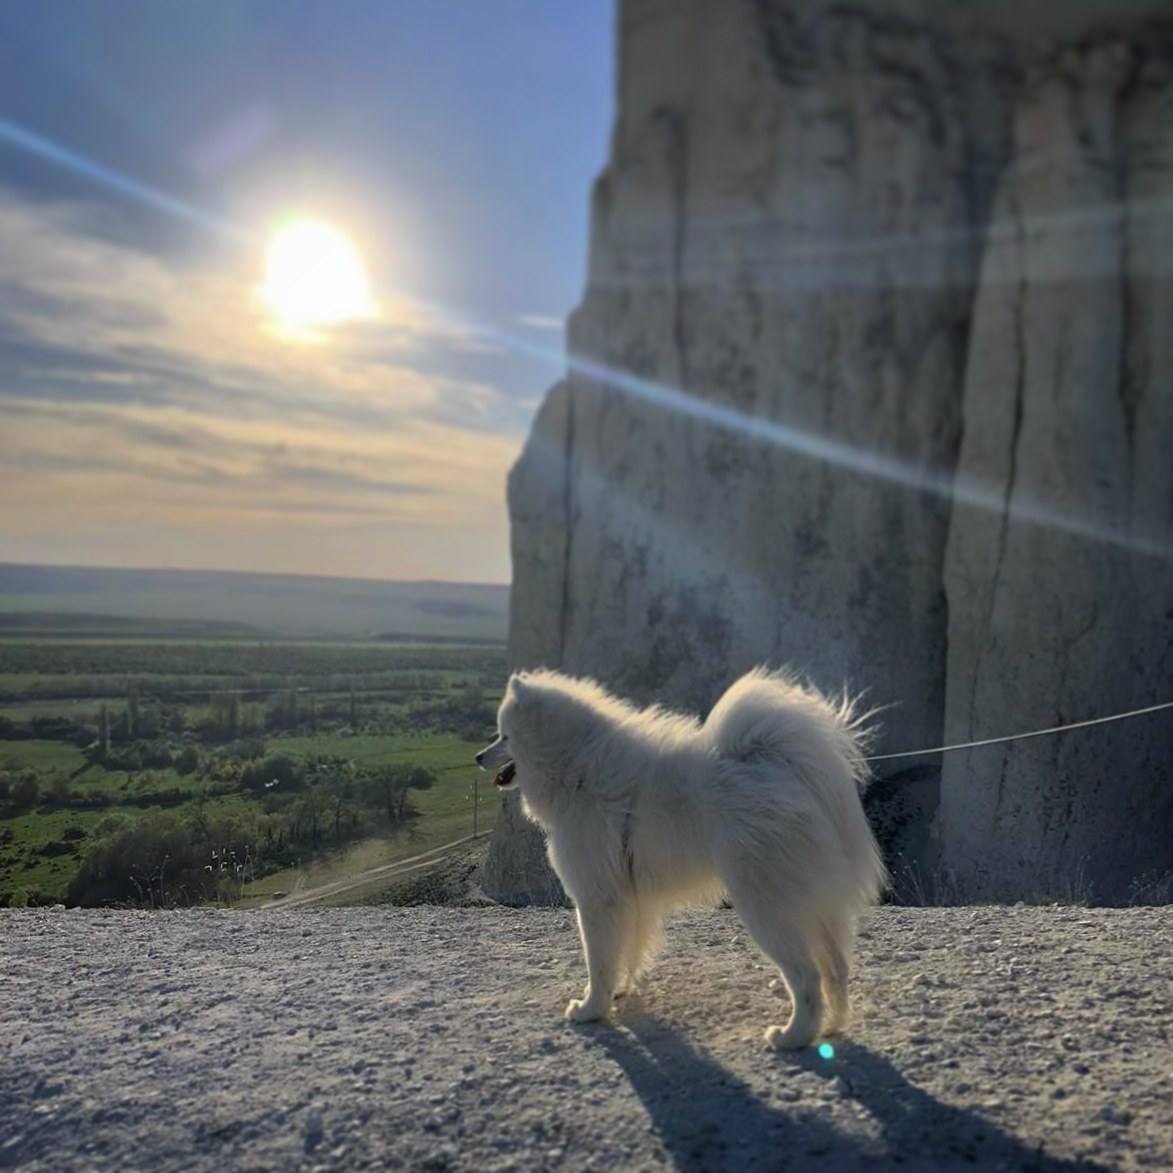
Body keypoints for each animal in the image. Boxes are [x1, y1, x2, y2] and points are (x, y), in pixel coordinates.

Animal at [476, 666, 886, 1051]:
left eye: (503, 736)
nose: (478, 756)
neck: (578, 769)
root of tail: (781, 767)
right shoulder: (629, 897)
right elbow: (627, 950)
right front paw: (621, 992)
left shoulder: (597, 898)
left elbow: (599, 961)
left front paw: (591, 1009)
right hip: (812, 903)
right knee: (836, 968)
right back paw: (831, 1027)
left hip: (765, 906)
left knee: (806, 976)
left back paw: (793, 1036)